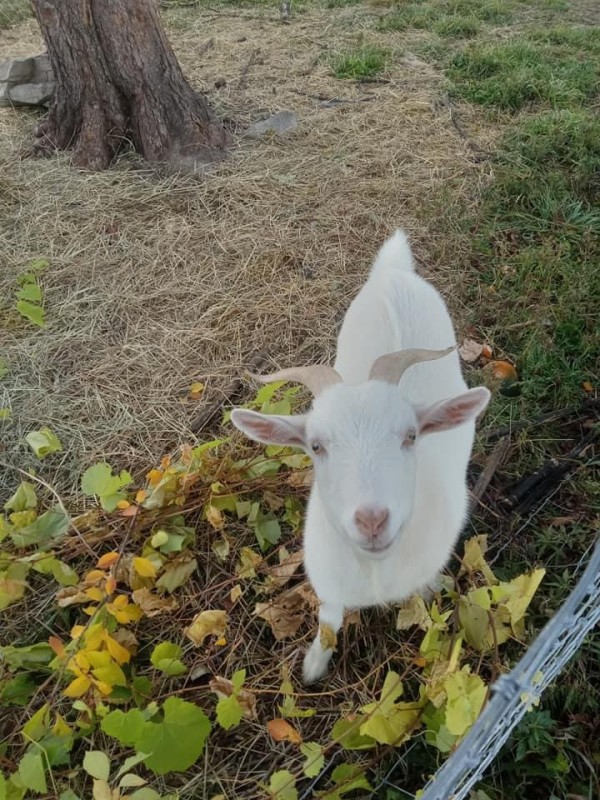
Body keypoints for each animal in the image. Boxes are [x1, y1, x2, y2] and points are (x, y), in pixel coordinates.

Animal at [231, 230, 491, 684]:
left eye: (410, 436)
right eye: (316, 446)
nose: (372, 521)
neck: (375, 573)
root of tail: (392, 274)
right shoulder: (330, 585)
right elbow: (328, 621)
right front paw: (313, 666)